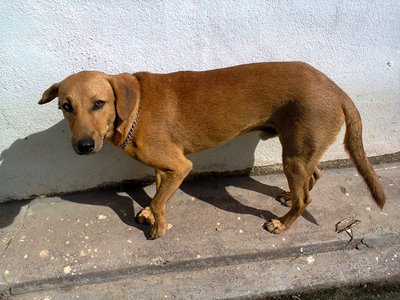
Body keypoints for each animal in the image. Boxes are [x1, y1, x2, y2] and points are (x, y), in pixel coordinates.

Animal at [39, 61, 386, 239]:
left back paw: (282, 223)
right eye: (66, 106)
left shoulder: (180, 167)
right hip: (300, 151)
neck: (135, 105)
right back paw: (288, 197)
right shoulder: (165, 166)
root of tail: (336, 89)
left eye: (99, 103)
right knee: (315, 174)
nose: (84, 146)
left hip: (295, 155)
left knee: (306, 198)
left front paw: (158, 227)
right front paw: (149, 211)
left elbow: (161, 199)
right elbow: (158, 193)